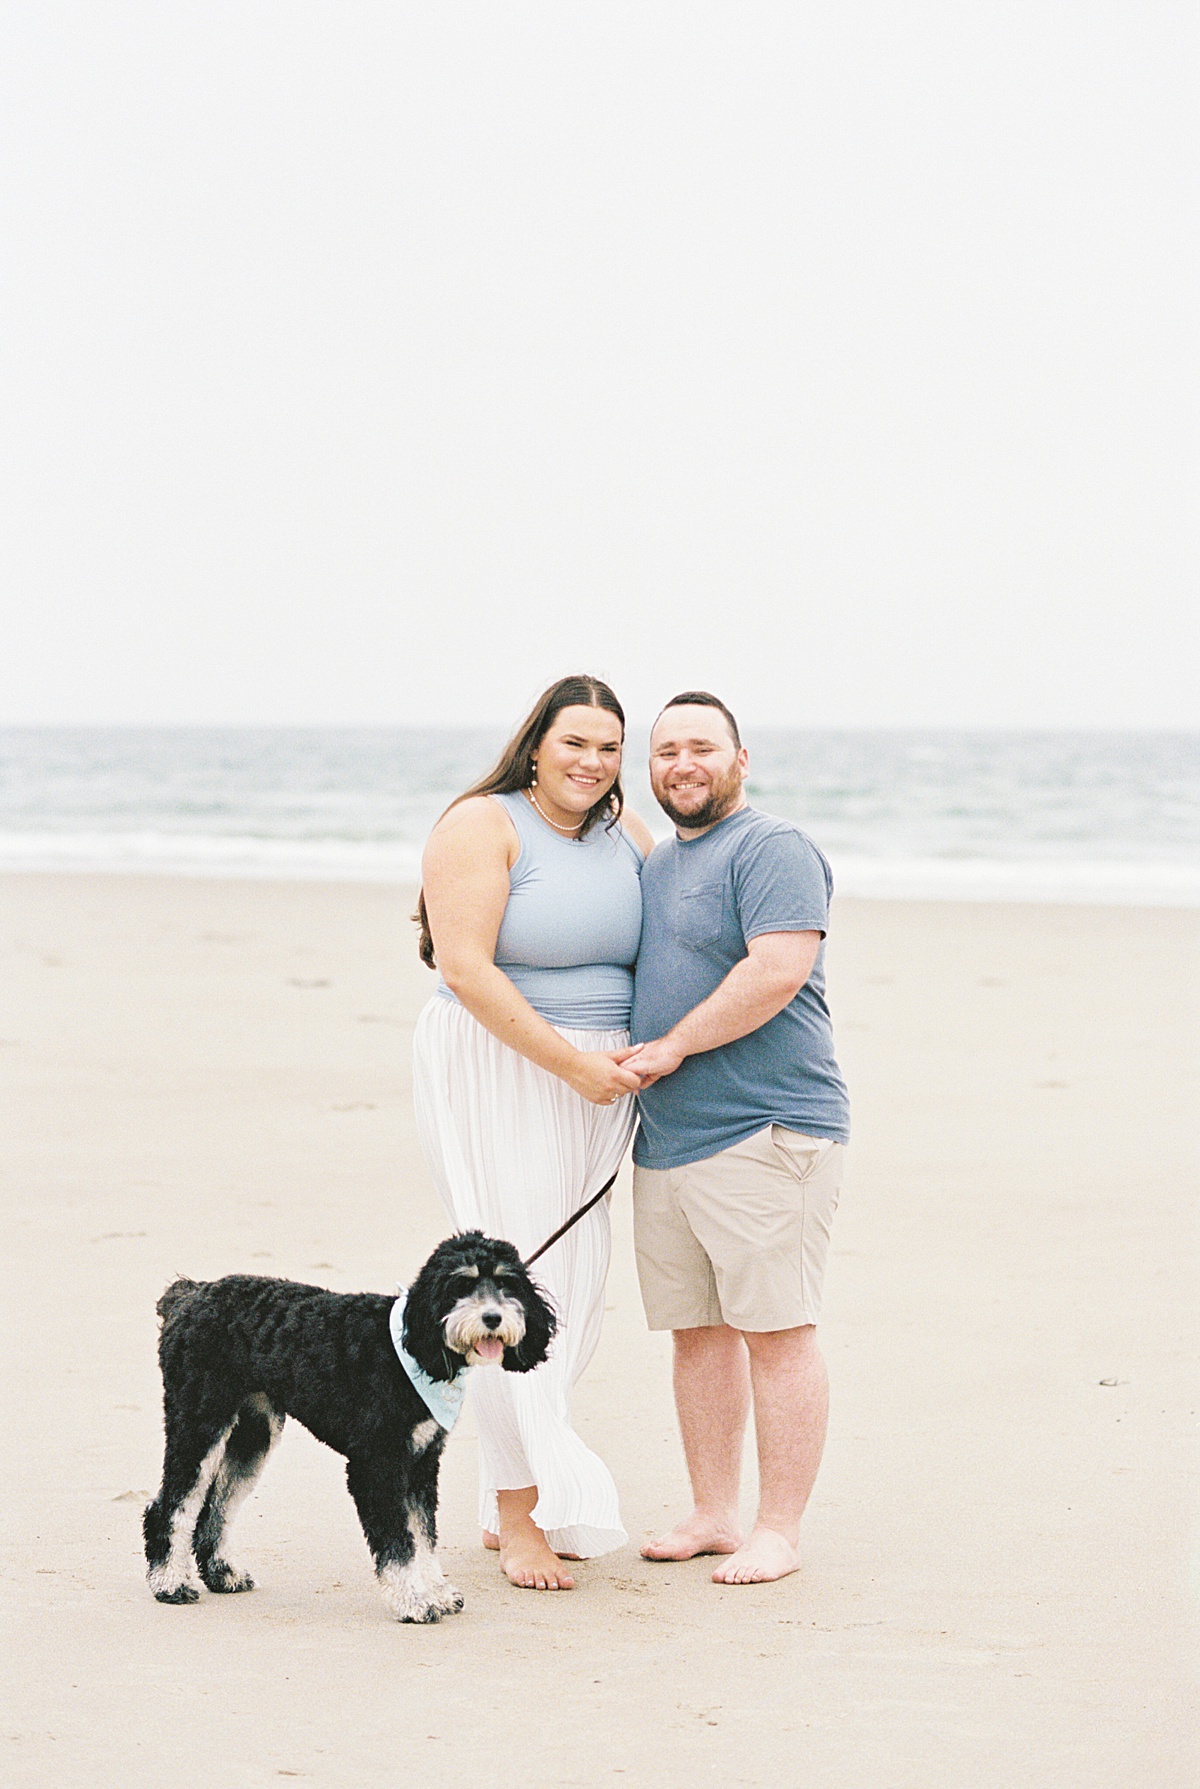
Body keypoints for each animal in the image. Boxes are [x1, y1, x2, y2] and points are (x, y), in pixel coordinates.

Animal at [143, 1230, 557, 1624]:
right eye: (461, 1285)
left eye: (507, 1284)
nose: (493, 1318)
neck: (413, 1345)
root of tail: (192, 1293)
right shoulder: (377, 1466)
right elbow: (399, 1545)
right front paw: (414, 1600)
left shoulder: (421, 1464)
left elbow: (423, 1536)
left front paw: (436, 1591)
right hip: (198, 1423)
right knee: (171, 1505)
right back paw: (170, 1583)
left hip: (253, 1435)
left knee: (217, 1506)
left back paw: (223, 1573)